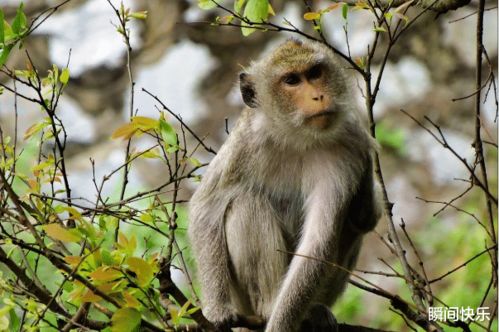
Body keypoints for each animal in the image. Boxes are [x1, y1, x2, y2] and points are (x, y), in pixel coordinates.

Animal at [188, 39, 382, 332]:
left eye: (315, 73)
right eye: (291, 80)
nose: (318, 96)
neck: (296, 137)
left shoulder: (347, 149)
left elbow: (317, 243)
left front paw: (280, 324)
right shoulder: (245, 144)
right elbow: (206, 210)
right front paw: (217, 309)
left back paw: (314, 311)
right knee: (246, 203)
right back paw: (268, 306)